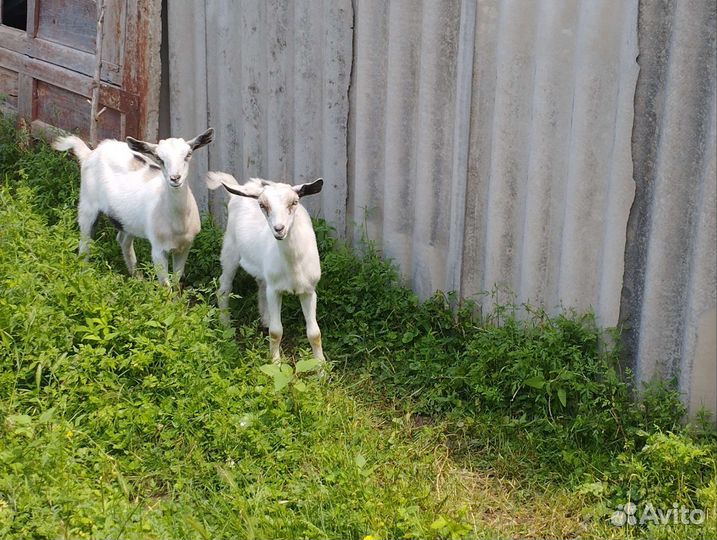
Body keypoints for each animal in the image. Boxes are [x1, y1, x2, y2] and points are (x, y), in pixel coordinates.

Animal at [52, 129, 214, 285]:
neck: (178, 224)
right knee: (85, 242)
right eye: (159, 158)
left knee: (123, 240)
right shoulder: (158, 249)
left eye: (188, 154)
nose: (175, 178)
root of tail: (90, 153)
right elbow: (165, 286)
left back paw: (137, 278)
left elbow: (176, 281)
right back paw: (84, 275)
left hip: (127, 220)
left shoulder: (185, 247)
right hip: (88, 204)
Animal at [206, 172, 325, 362]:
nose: (279, 229)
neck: (294, 265)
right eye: (262, 205)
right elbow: (276, 332)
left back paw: (265, 320)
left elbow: (314, 333)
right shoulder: (275, 290)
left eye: (294, 202)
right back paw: (225, 326)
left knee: (261, 286)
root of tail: (243, 187)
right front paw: (276, 364)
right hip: (230, 249)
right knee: (224, 287)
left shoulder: (309, 290)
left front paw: (322, 366)